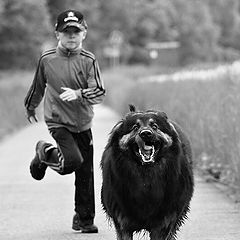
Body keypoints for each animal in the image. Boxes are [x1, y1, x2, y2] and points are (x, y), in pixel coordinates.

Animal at [100, 106, 194, 239]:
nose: (145, 134)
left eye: (154, 126)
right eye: (135, 127)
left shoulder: (163, 223)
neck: (146, 173)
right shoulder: (122, 223)